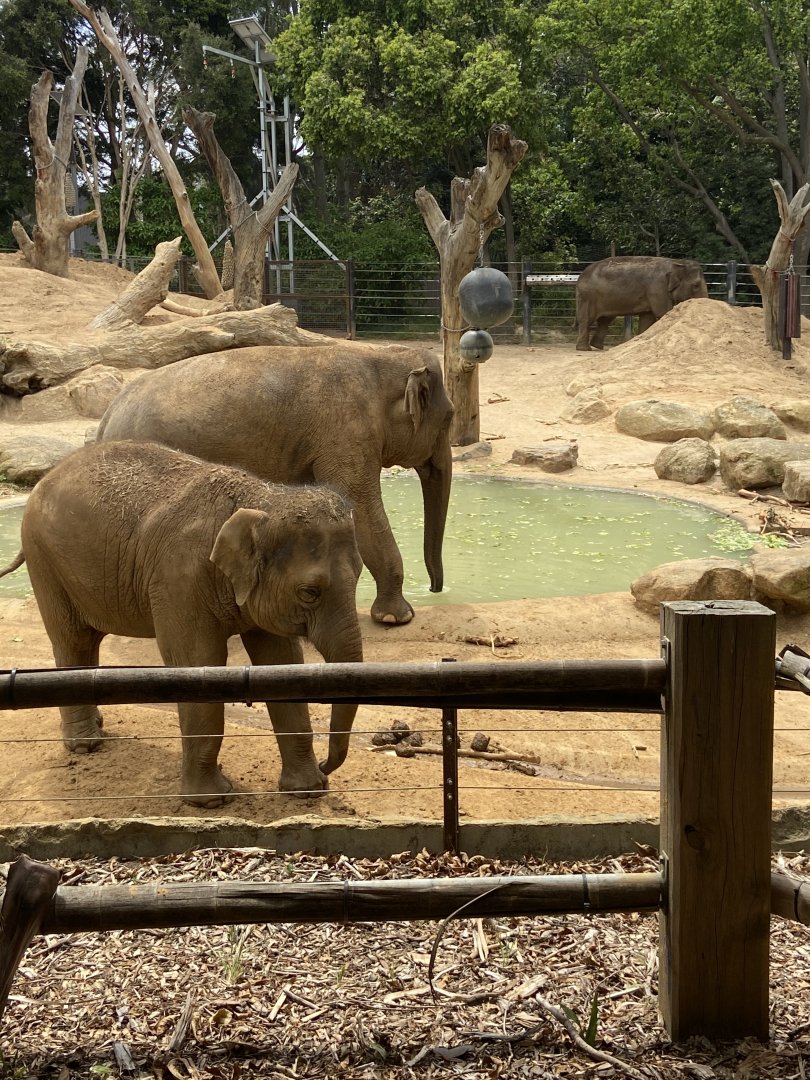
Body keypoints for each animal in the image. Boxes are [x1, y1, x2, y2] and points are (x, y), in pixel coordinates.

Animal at [0, 440, 364, 807]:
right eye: (309, 592)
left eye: (360, 573)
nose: (327, 764)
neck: (263, 498)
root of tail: (46, 478)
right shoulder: (179, 580)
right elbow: (198, 664)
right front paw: (211, 801)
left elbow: (281, 662)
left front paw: (307, 791)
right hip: (44, 559)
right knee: (72, 639)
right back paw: (86, 745)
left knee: (86, 641)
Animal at [96, 343, 454, 626]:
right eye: (450, 418)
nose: (435, 588)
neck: (379, 357)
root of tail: (107, 415)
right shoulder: (347, 435)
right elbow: (363, 507)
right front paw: (398, 618)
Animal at [575, 255, 708, 351]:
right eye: (696, 285)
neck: (676, 262)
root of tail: (580, 277)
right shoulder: (657, 288)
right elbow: (663, 312)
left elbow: (647, 318)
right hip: (588, 297)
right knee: (587, 319)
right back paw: (585, 349)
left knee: (605, 320)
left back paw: (597, 346)